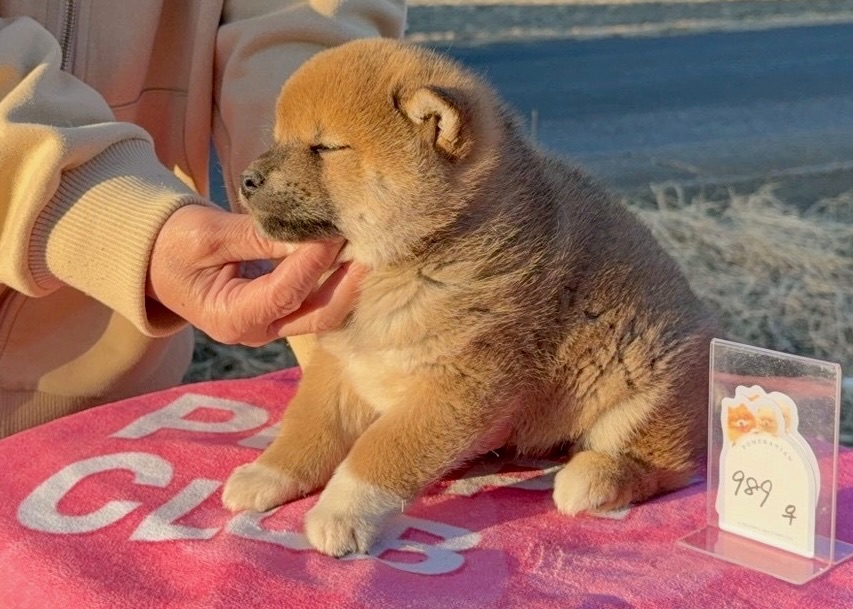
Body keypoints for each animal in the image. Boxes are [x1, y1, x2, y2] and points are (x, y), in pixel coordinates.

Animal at [222, 39, 718, 557]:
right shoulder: (342, 362)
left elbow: (380, 450)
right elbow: (308, 427)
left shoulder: (459, 385)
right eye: (280, 139)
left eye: (325, 147)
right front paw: (267, 472)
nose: (247, 180)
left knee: (668, 464)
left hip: (644, 383)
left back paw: (593, 478)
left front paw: (341, 512)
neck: (413, 261)